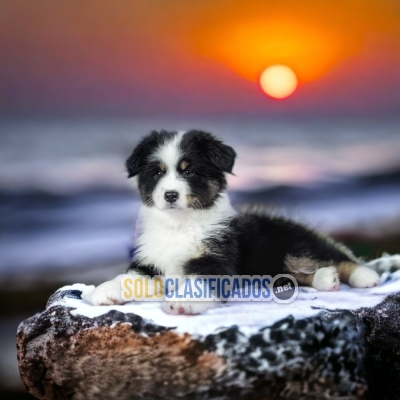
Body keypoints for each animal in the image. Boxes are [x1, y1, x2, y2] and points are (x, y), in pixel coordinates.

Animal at [89, 130, 380, 314]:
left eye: (189, 171)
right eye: (158, 173)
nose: (170, 195)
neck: (179, 224)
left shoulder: (215, 258)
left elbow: (200, 282)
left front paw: (183, 303)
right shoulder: (150, 261)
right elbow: (130, 277)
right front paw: (105, 290)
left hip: (293, 245)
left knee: (336, 256)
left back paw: (364, 276)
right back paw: (325, 279)